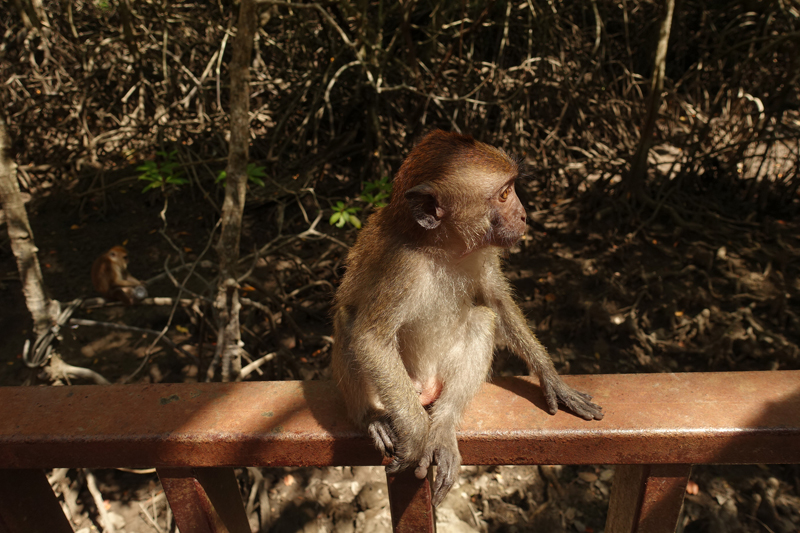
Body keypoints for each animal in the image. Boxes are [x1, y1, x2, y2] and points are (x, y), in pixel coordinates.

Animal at [330, 129, 600, 502]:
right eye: (504, 194)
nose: (524, 215)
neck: (440, 247)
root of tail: (424, 385)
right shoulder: (399, 265)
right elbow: (370, 338)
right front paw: (416, 437)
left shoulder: (482, 252)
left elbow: (496, 300)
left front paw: (551, 377)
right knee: (347, 321)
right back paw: (373, 418)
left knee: (482, 318)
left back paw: (443, 425)